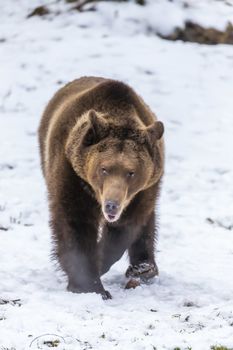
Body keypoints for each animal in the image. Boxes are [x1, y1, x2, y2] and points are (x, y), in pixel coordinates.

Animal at [38, 76, 165, 298]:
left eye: (131, 172)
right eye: (104, 168)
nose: (111, 205)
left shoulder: (143, 191)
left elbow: (125, 228)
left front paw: (102, 263)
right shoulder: (72, 175)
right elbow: (75, 224)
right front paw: (90, 286)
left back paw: (144, 268)